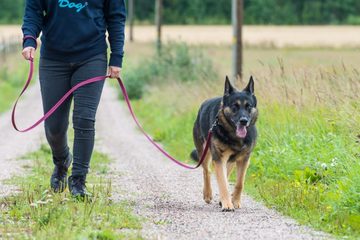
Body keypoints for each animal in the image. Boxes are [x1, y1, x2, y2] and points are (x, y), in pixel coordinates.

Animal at [190, 76, 258, 211]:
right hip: (205, 152)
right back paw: (208, 194)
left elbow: (239, 183)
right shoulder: (219, 159)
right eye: (234, 106)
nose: (244, 121)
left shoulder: (244, 160)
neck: (234, 136)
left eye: (248, 106)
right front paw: (227, 203)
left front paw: (235, 201)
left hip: (231, 160)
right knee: (207, 171)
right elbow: (223, 183)